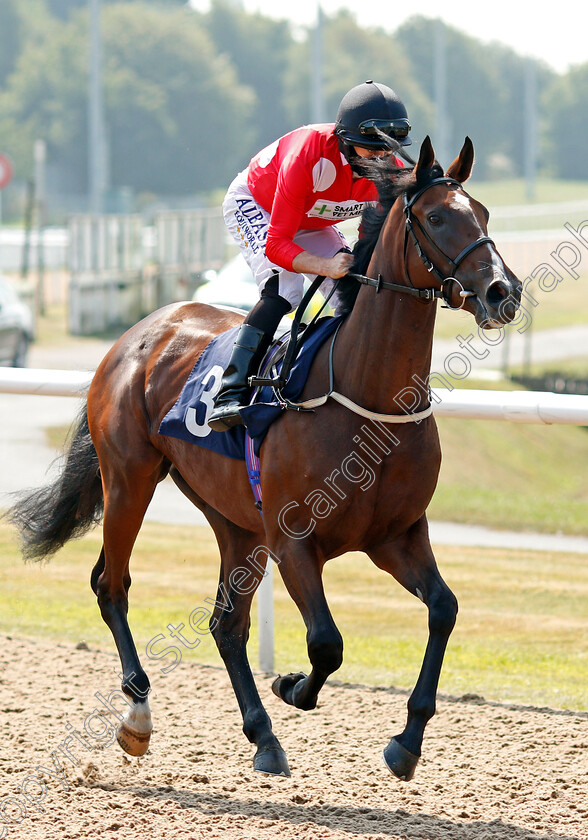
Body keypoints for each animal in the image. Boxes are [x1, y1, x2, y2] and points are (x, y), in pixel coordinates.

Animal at [8, 136, 524, 780]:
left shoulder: (396, 536)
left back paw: (263, 736)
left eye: (483, 213)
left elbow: (444, 610)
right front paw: (293, 686)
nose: (503, 292)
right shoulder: (294, 541)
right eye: (435, 218)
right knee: (112, 583)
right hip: (129, 478)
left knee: (225, 622)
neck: (368, 397)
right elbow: (326, 642)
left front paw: (405, 743)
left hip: (234, 520)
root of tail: (135, 335)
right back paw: (138, 716)